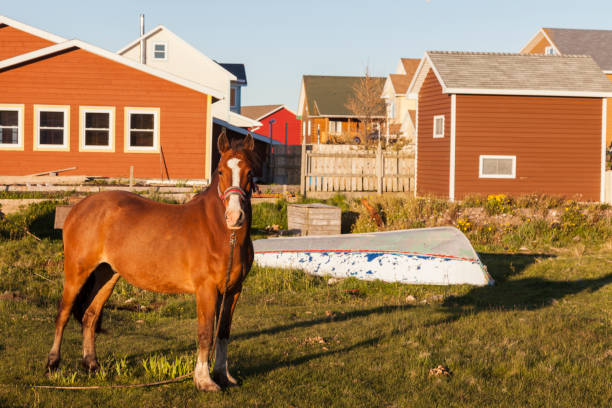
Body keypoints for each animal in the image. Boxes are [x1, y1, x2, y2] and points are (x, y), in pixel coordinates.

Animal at [47, 132, 256, 390]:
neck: (221, 233)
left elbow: (223, 332)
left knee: (90, 315)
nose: (235, 217)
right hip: (77, 271)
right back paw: (52, 363)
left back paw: (92, 364)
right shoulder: (206, 290)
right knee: (64, 313)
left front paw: (223, 376)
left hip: (108, 274)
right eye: (220, 171)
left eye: (250, 172)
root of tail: (79, 207)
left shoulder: (233, 290)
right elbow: (206, 333)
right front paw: (204, 380)